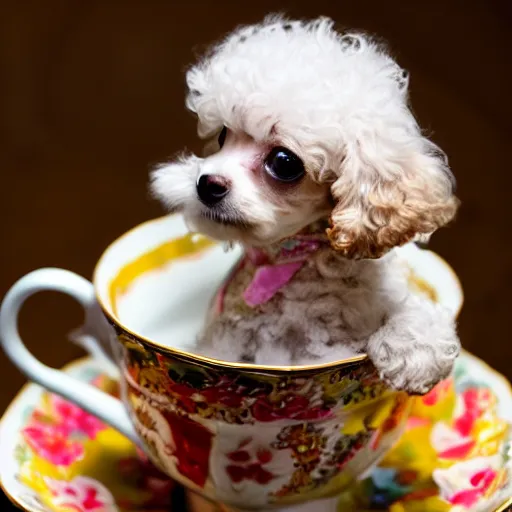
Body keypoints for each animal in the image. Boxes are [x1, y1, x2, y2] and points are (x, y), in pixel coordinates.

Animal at [151, 14, 460, 394]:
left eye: (284, 163)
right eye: (222, 136)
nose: (206, 183)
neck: (294, 265)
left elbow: (411, 308)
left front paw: (413, 351)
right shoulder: (225, 347)